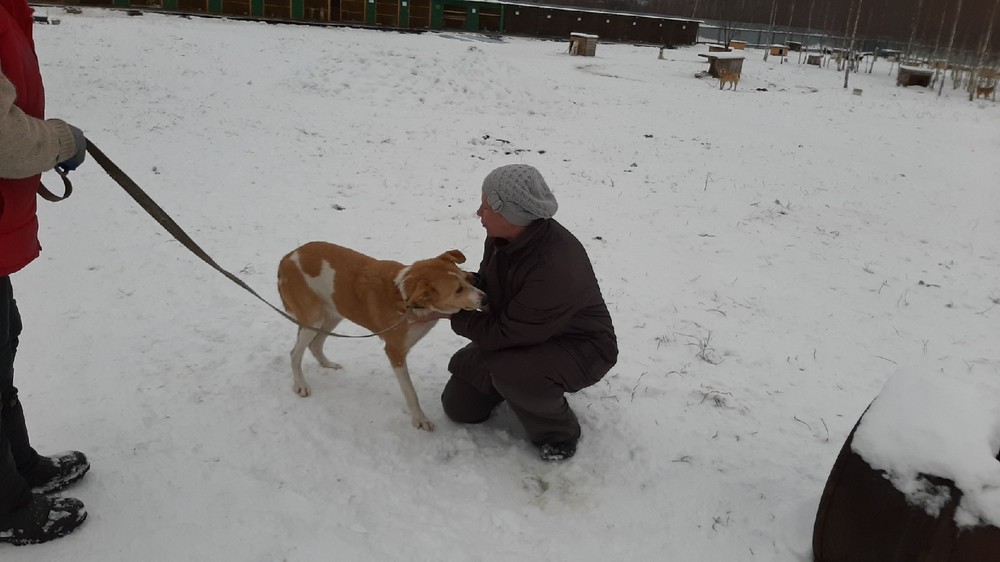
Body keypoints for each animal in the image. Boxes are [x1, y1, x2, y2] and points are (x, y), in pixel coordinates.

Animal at [277, 242, 484, 431]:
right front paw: (420, 418)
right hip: (314, 319)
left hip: (333, 314)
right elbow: (410, 392)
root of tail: (288, 256)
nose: (485, 298)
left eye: (467, 278)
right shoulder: (395, 351)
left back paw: (327, 364)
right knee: (295, 353)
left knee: (315, 344)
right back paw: (300, 384)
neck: (405, 300)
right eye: (458, 290)